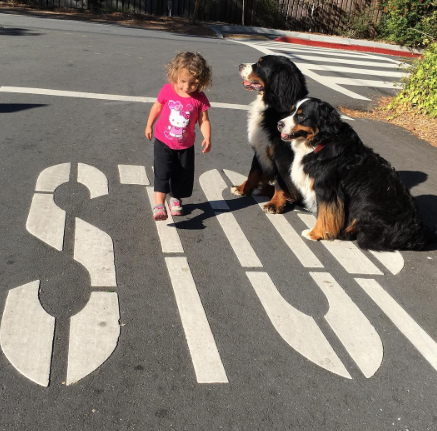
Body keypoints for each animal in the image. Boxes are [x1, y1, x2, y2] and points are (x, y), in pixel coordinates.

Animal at [230, 54, 308, 215]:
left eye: (260, 64)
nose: (240, 65)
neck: (273, 107)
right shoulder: (259, 146)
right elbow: (253, 172)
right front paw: (242, 189)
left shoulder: (282, 157)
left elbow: (280, 182)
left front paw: (275, 203)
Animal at [278, 98, 428, 251]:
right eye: (292, 111)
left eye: (302, 116)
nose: (279, 124)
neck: (321, 142)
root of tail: (417, 236)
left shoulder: (328, 190)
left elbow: (325, 215)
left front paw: (315, 233)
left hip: (367, 208)